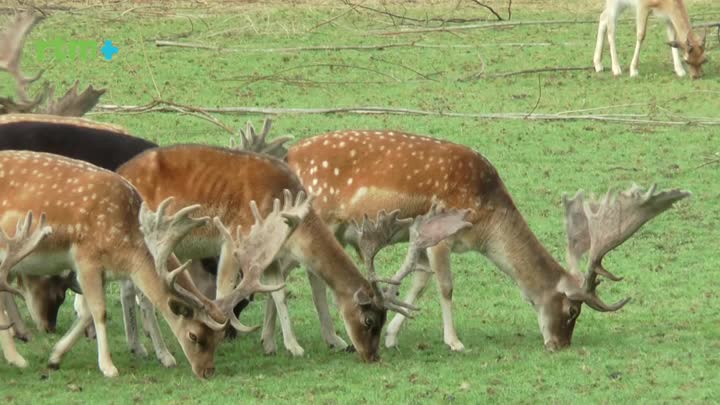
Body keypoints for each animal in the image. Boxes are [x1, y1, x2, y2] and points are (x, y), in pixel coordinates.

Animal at [0, 150, 298, 378]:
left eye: (218, 336)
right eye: (194, 336)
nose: (207, 371)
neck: (124, 243)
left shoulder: (102, 270)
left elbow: (85, 312)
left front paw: (55, 357)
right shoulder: (86, 258)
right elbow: (99, 311)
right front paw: (108, 367)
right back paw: (17, 359)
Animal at [282, 130, 692, 350]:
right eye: (572, 312)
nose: (560, 344)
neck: (485, 225)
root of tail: (288, 154)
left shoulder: (424, 240)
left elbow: (419, 283)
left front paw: (393, 336)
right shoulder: (441, 232)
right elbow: (445, 286)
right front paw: (454, 341)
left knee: (315, 275)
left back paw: (332, 339)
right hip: (318, 219)